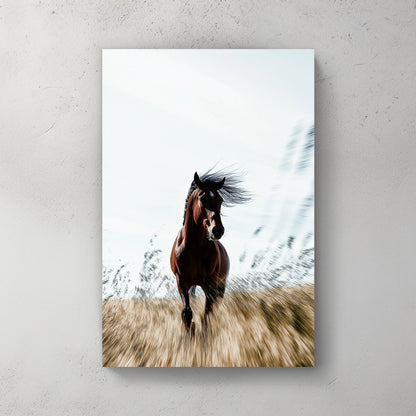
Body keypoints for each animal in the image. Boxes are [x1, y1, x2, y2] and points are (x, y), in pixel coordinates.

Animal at [170, 169, 249, 332]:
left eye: (221, 200)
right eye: (202, 198)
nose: (217, 230)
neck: (194, 248)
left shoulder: (210, 285)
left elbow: (206, 316)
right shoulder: (182, 282)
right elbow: (187, 313)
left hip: (219, 287)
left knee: (212, 312)